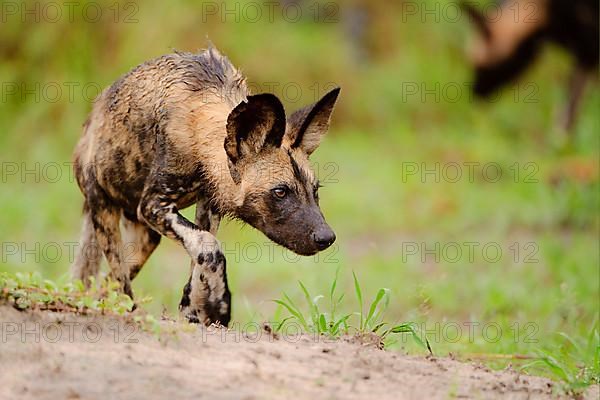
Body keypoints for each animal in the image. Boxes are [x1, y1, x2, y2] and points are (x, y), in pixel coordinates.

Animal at [72, 47, 340, 328]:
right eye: (280, 192)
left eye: (315, 190)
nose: (327, 238)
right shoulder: (153, 206)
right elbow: (209, 246)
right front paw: (218, 306)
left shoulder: (208, 207)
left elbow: (198, 260)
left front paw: (193, 311)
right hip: (104, 210)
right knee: (119, 277)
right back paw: (130, 313)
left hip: (144, 237)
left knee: (108, 280)